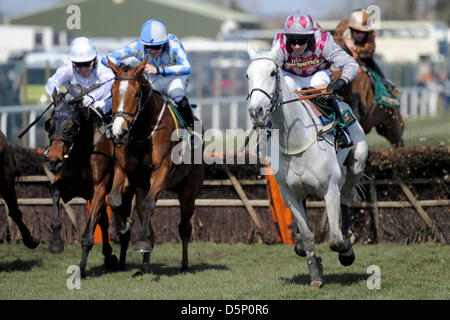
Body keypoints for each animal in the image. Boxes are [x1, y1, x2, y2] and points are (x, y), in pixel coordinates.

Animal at [45, 89, 133, 278]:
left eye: (73, 126)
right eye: (49, 124)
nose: (54, 160)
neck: (83, 151)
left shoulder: (100, 188)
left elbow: (88, 233)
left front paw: (81, 269)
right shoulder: (72, 186)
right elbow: (54, 191)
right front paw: (56, 242)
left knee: (122, 224)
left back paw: (121, 261)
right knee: (103, 220)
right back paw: (109, 256)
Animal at [105, 58, 204, 276]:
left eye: (136, 94)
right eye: (112, 92)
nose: (118, 133)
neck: (143, 134)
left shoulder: (161, 172)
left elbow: (149, 205)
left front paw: (140, 241)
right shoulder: (123, 170)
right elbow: (115, 199)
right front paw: (121, 226)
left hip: (188, 192)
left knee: (184, 228)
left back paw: (184, 265)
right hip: (143, 188)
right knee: (146, 217)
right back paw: (143, 267)